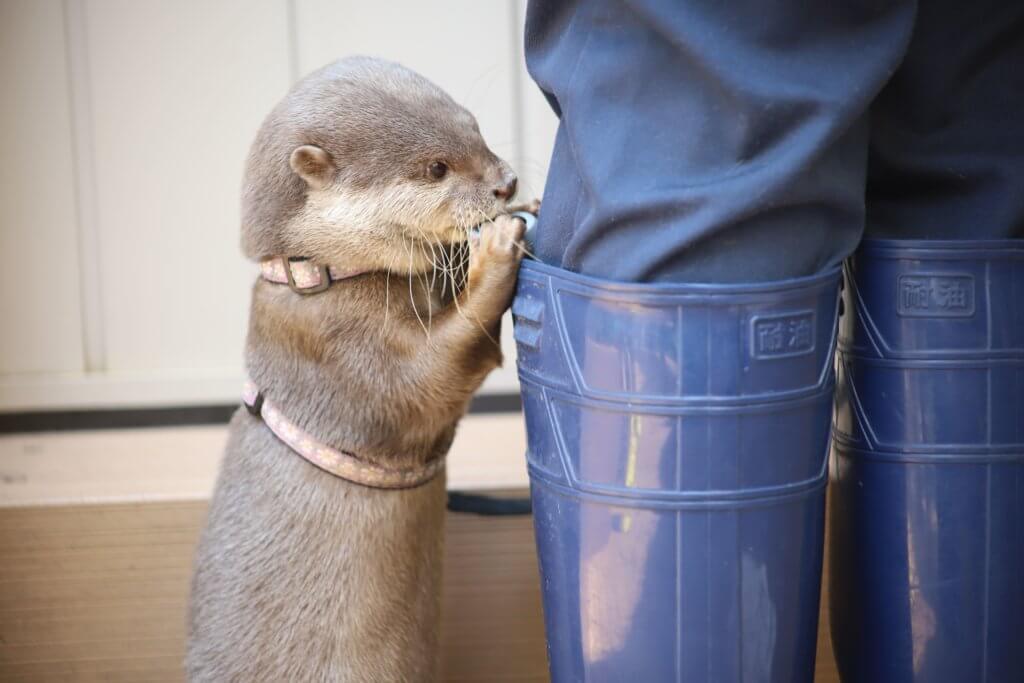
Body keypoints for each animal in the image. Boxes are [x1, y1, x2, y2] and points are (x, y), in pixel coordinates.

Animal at [186, 56, 528, 679]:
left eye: (474, 128)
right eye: (436, 167)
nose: (508, 183)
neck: (317, 277)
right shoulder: (343, 357)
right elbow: (436, 376)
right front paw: (494, 246)